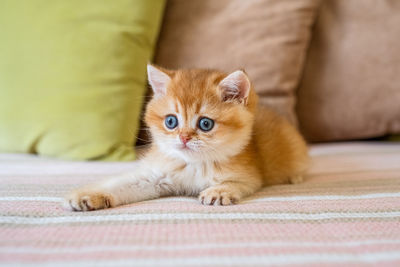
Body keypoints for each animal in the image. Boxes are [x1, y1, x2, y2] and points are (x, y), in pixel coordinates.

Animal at [65, 65, 310, 211]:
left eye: (205, 124)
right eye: (171, 121)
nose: (183, 137)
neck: (194, 165)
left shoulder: (249, 175)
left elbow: (238, 183)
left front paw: (219, 191)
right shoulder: (155, 175)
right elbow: (121, 183)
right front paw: (88, 196)